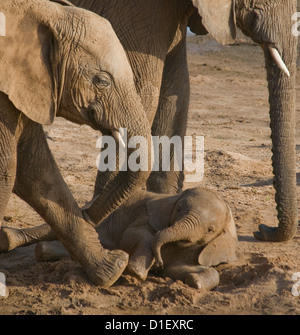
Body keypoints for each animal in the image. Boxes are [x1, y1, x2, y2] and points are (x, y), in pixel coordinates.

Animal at [0, 0, 152, 288]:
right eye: (101, 80)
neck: (43, 11)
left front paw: (114, 269)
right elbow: (8, 168)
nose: (88, 213)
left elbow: (34, 168)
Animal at [1, 188, 238, 290]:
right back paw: (8, 239)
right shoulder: (147, 215)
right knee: (60, 227)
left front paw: (195, 283)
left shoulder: (194, 249)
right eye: (178, 209)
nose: (158, 265)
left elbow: (180, 267)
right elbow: (134, 235)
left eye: (210, 229)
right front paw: (136, 273)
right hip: (93, 208)